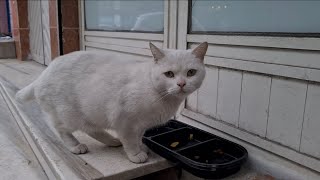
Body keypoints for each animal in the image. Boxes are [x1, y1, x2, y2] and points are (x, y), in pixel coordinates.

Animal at [15, 42, 208, 163]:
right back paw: (76, 146)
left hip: (89, 113)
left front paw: (141, 147)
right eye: (169, 74)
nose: (181, 84)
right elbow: (130, 140)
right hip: (69, 116)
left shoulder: (141, 125)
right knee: (61, 130)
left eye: (191, 72)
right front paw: (135, 154)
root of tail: (43, 74)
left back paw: (111, 141)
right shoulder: (125, 121)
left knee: (91, 129)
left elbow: (138, 136)